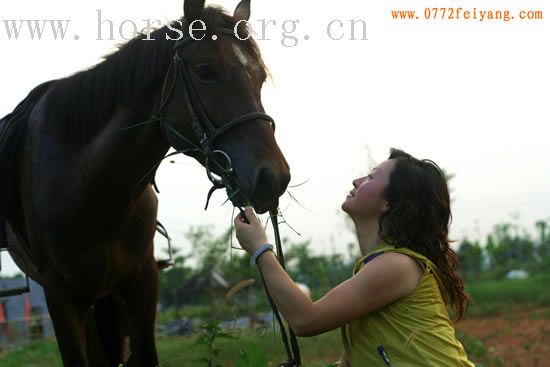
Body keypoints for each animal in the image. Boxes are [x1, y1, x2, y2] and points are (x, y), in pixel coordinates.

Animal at [0, 0, 294, 366]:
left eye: (260, 77)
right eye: (206, 71)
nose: (274, 177)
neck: (88, 187)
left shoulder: (142, 282)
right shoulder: (60, 295)